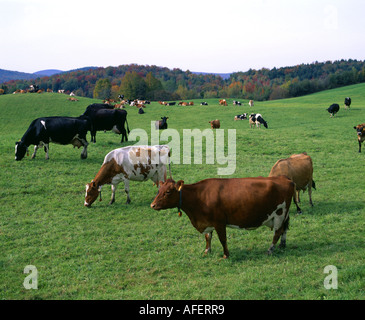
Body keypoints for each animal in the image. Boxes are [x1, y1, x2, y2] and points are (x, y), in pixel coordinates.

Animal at [151, 175, 296, 258]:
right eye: (159, 190)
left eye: (168, 192)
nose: (153, 205)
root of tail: (286, 179)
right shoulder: (207, 221)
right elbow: (208, 237)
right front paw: (207, 251)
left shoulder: (219, 222)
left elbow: (222, 239)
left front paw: (226, 255)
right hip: (284, 215)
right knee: (284, 229)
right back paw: (282, 245)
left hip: (279, 213)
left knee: (277, 232)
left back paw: (270, 250)